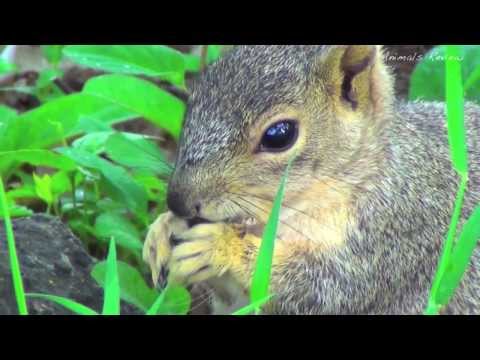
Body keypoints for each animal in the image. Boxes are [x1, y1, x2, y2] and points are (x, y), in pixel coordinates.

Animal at [142, 45, 480, 316]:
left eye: (279, 135)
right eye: (191, 105)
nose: (178, 201)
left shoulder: (396, 235)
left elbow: (322, 289)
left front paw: (219, 246)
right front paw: (161, 230)